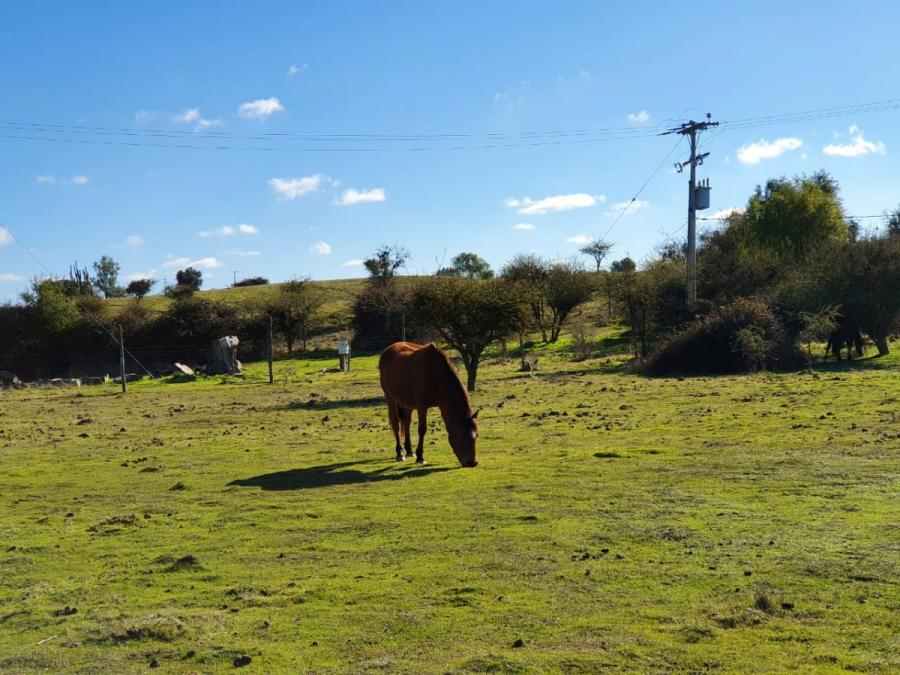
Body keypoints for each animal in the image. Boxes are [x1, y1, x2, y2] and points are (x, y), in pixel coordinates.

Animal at [378, 340, 478, 468]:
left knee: (407, 422)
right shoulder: (422, 406)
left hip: (407, 402)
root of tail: (388, 350)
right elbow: (422, 429)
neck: (436, 375)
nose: (472, 462)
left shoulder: (441, 405)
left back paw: (409, 450)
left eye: (476, 435)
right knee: (396, 423)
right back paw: (400, 452)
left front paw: (416, 453)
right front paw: (420, 456)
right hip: (390, 398)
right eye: (462, 435)